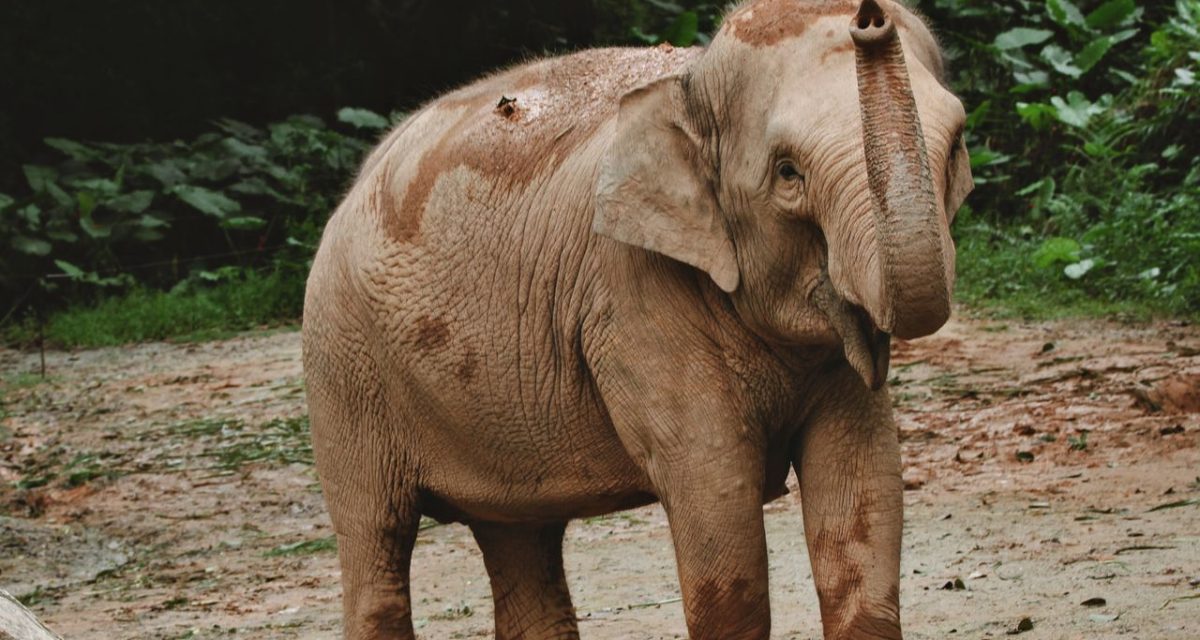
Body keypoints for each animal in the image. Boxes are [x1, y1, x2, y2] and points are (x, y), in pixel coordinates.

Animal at [302, 0, 973, 638]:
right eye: (788, 173)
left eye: (956, 148)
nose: (869, 18)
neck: (690, 82)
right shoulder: (629, 295)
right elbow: (713, 485)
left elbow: (862, 483)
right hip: (343, 369)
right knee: (376, 538)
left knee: (520, 538)